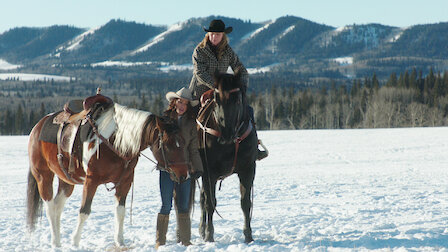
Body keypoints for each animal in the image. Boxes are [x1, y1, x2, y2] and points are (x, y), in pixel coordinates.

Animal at [27, 99, 189, 247]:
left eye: (183, 142)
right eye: (168, 146)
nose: (184, 175)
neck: (115, 141)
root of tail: (37, 126)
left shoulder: (125, 181)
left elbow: (120, 211)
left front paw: (120, 242)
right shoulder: (91, 181)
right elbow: (84, 211)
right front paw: (75, 243)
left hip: (66, 181)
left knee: (57, 206)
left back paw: (58, 241)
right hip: (43, 176)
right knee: (49, 207)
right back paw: (55, 242)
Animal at [197, 72, 260, 243]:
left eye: (237, 99)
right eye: (216, 99)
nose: (226, 134)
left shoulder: (247, 170)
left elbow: (245, 203)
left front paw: (248, 235)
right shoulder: (209, 172)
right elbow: (210, 203)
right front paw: (209, 235)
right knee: (203, 200)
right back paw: (202, 230)